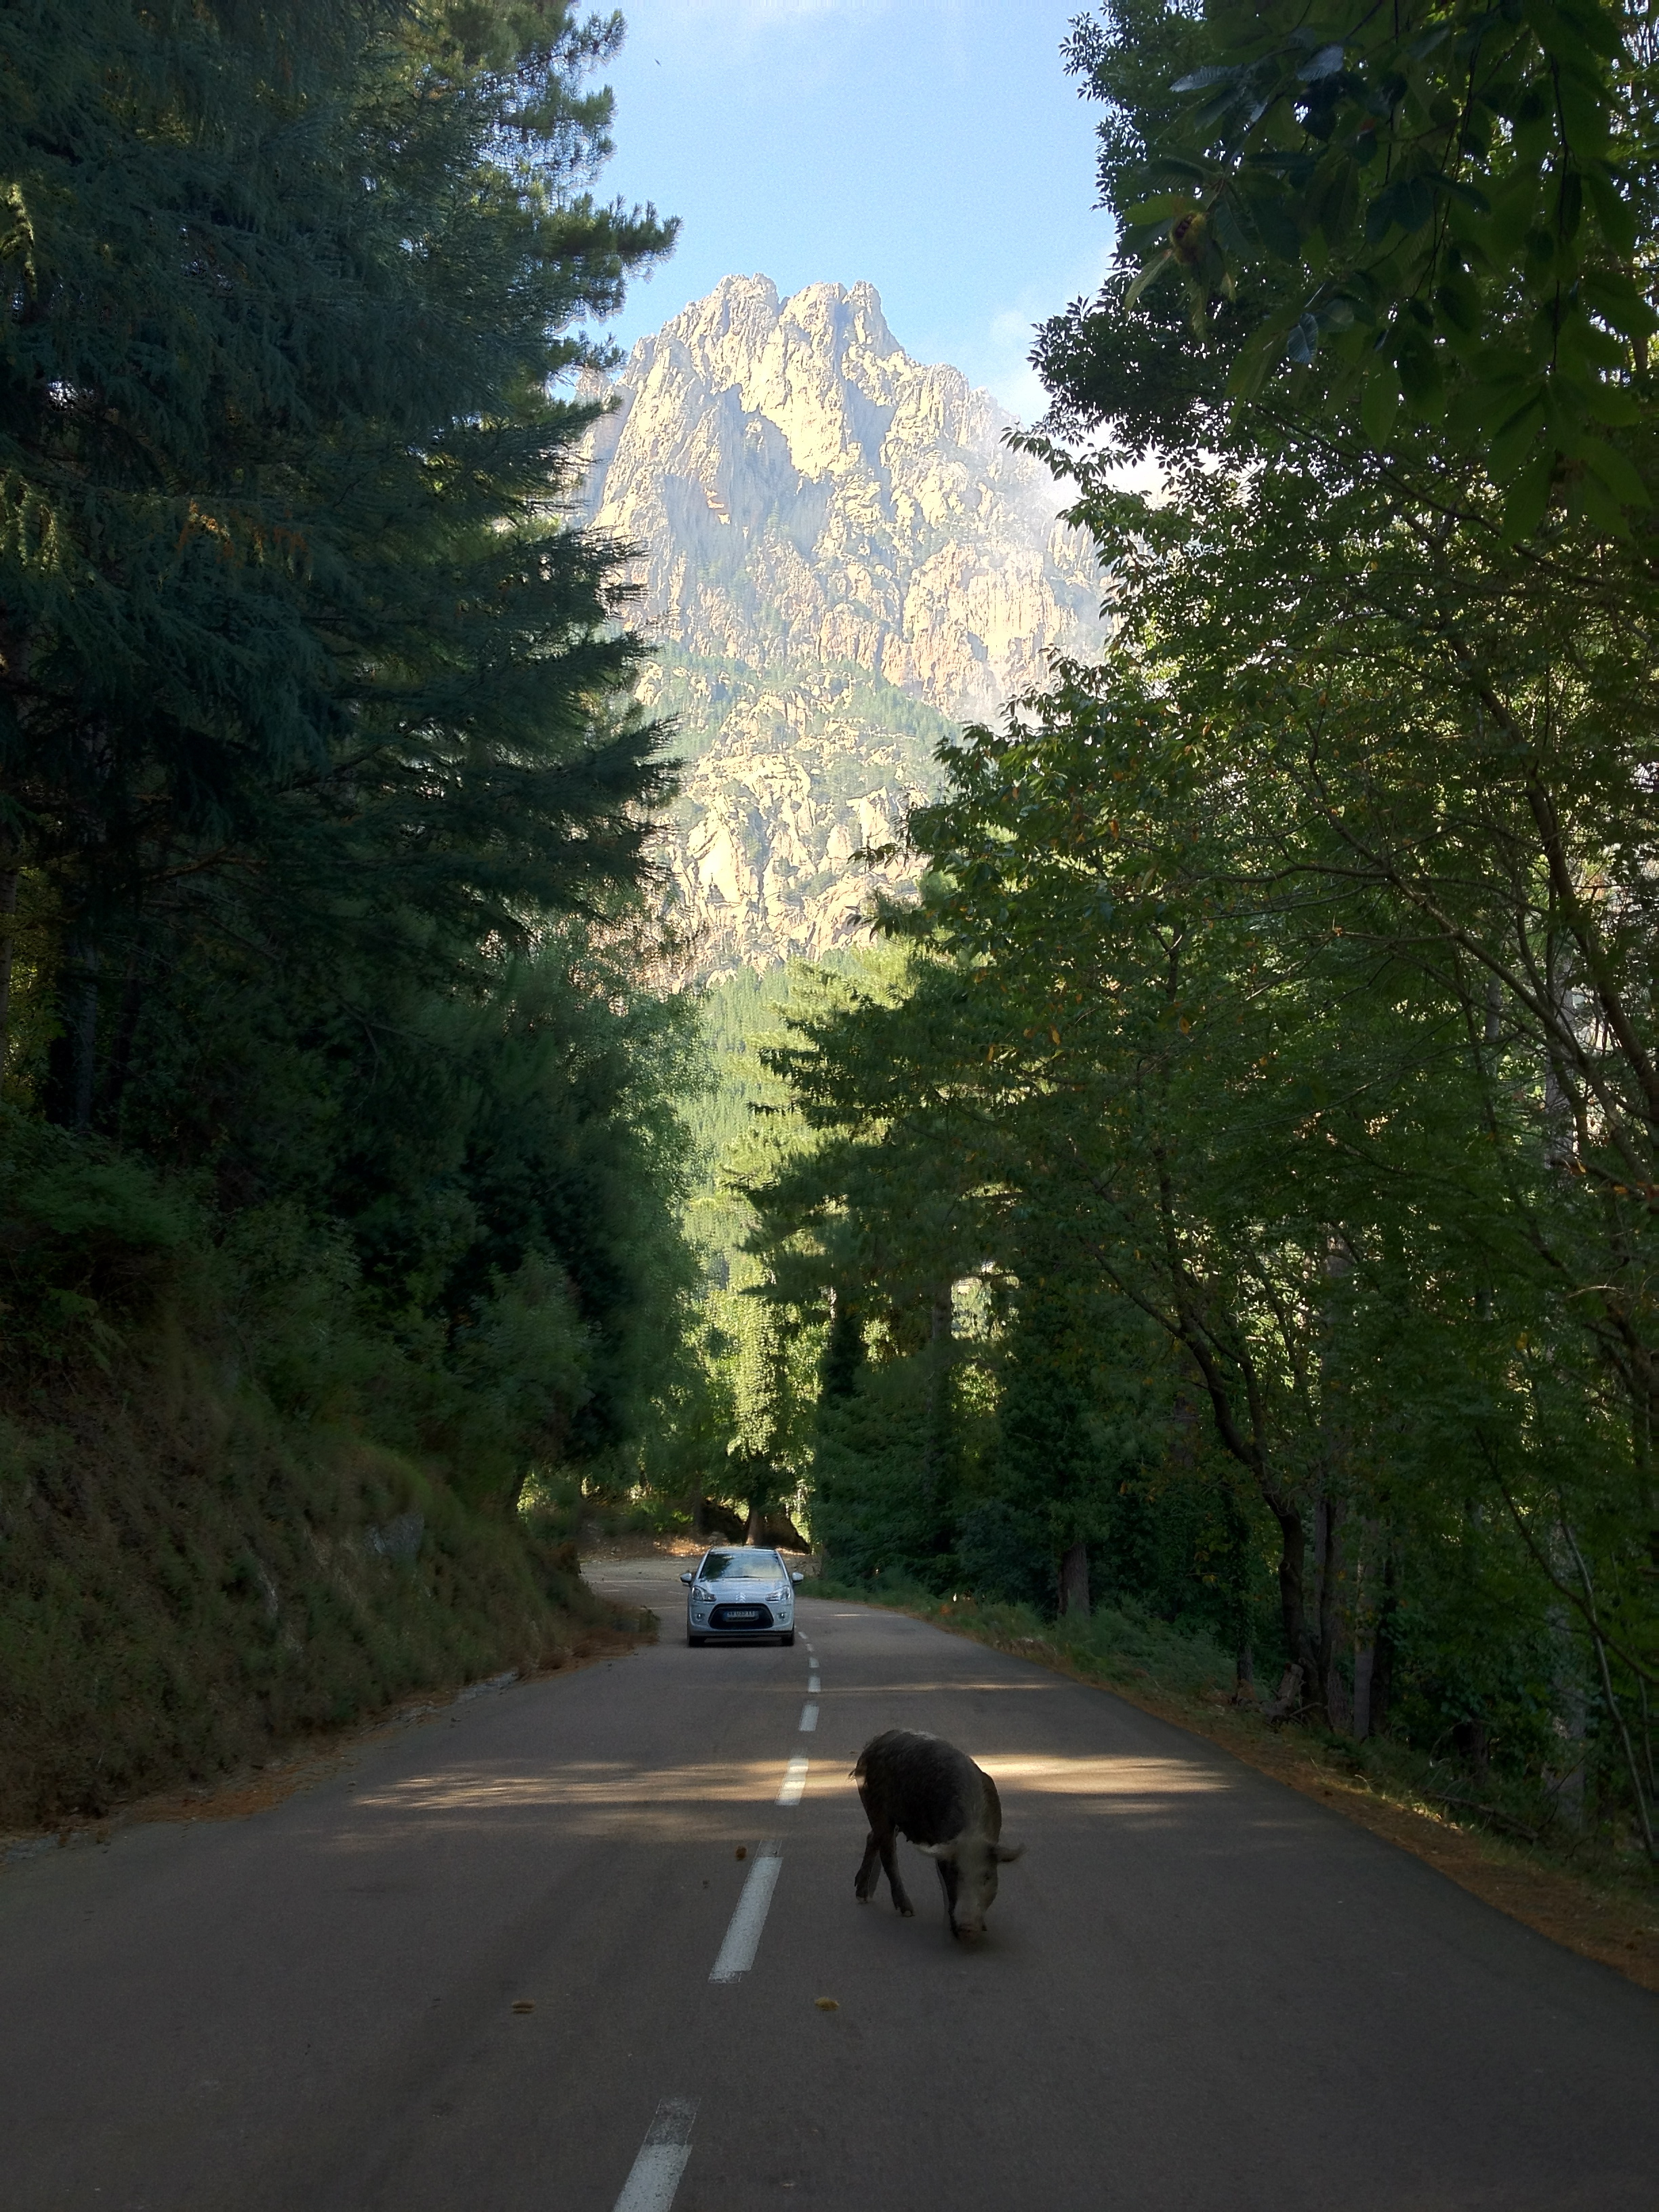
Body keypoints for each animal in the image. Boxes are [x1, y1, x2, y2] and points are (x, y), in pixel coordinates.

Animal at [858, 1725, 1026, 1938]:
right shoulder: (942, 1845)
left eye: (987, 1876)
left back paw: (863, 1895)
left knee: (872, 1837)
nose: (968, 1926)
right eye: (954, 1873)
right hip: (876, 1807)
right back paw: (906, 1911)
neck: (971, 1833)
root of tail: (872, 1744)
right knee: (888, 1853)